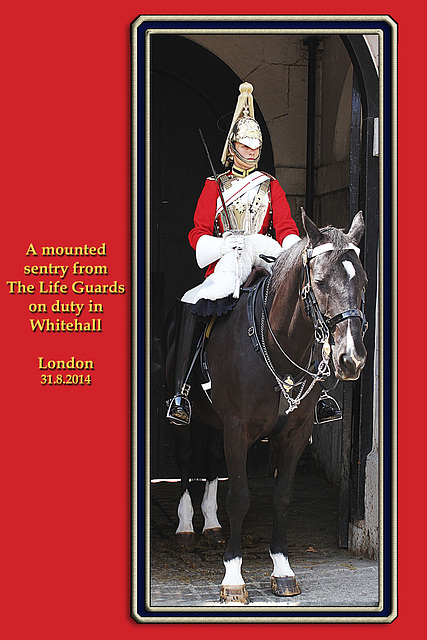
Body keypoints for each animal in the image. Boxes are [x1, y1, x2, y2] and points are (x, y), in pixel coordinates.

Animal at [164, 212, 368, 604]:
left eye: (363, 282)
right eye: (319, 282)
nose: (350, 358)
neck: (278, 344)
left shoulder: (295, 432)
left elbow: (282, 496)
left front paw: (282, 568)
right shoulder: (237, 428)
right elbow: (240, 497)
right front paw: (232, 576)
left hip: (216, 423)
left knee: (212, 459)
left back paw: (211, 523)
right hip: (184, 419)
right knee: (185, 458)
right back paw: (184, 526)